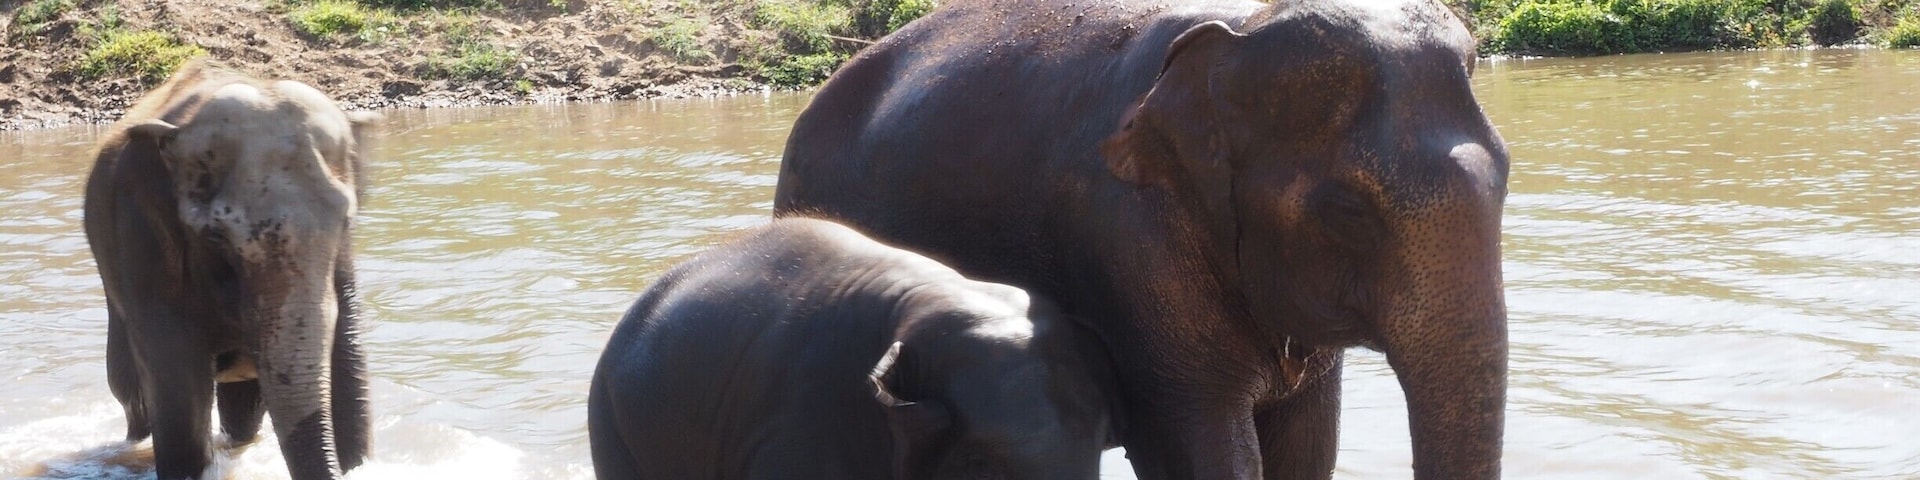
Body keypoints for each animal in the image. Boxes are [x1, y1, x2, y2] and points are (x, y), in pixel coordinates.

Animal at [81, 59, 379, 480]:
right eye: (216, 237)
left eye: (346, 222)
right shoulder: (142, 237)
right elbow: (177, 382)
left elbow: (347, 359)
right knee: (129, 389)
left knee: (245, 403)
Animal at [771, 0, 1510, 478]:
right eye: (1347, 210)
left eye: (1504, 175)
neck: (1239, 33)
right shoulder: (1128, 240)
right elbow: (1199, 443)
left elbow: (1305, 447)